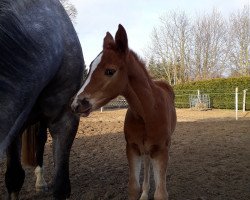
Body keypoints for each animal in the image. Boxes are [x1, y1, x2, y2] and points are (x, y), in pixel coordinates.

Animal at [71, 24, 177, 199]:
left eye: (110, 71)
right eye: (90, 68)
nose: (76, 104)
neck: (147, 113)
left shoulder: (161, 150)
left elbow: (161, 193)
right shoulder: (132, 148)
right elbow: (133, 187)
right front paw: (141, 192)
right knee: (146, 162)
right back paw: (144, 193)